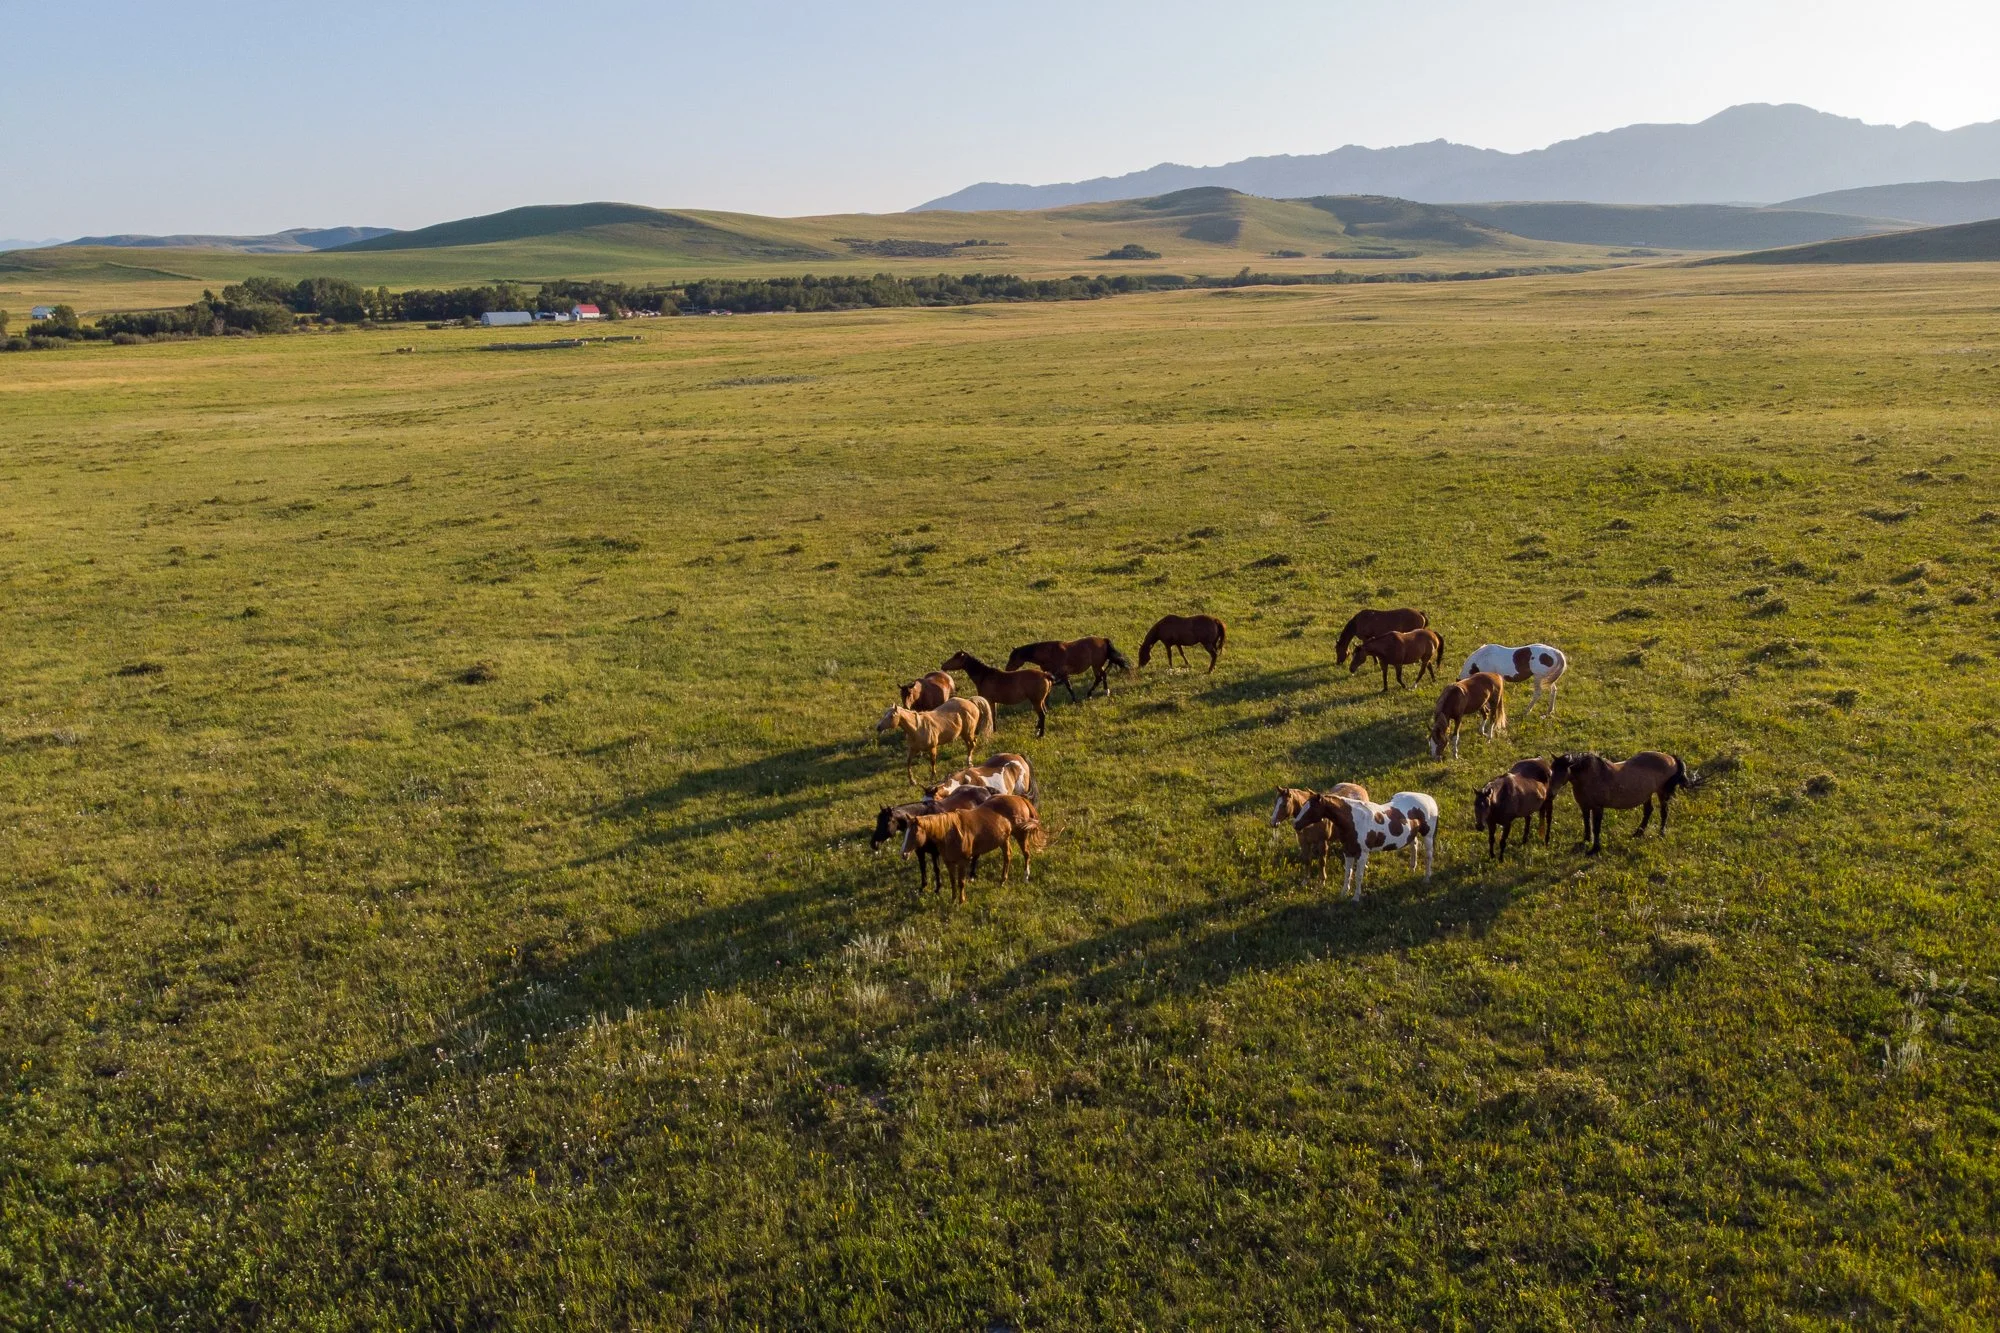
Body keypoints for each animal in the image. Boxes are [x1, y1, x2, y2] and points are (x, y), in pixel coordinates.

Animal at [1293, 790, 1439, 901]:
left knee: (1429, 855)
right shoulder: (1348, 851)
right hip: (1412, 835)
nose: (1295, 824)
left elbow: (1358, 875)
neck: (1353, 820)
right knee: (1414, 846)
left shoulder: (1362, 853)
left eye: (1311, 808)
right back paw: (1412, 869)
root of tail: (1430, 800)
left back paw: (1426, 878)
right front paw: (1343, 893)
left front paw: (1356, 897)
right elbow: (1348, 873)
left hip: (1428, 836)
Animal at [1549, 751, 1694, 855]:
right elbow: (1587, 824)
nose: (1550, 793)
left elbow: (1596, 828)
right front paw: (1585, 841)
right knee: (1648, 811)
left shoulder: (1597, 808)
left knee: (1664, 812)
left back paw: (1661, 833)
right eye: (1551, 771)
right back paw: (1638, 833)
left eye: (1563, 772)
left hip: (1662, 792)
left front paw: (1595, 849)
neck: (1591, 777)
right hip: (1647, 794)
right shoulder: (1584, 807)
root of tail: (1671, 757)